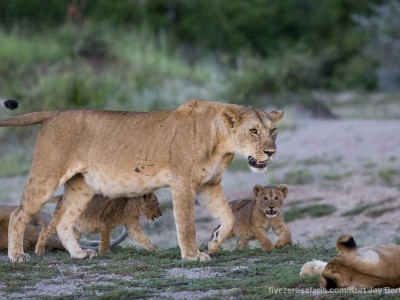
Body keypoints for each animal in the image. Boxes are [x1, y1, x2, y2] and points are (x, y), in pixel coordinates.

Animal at [0, 99, 282, 262]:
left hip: (81, 186)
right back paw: (17, 256)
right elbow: (187, 225)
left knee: (63, 221)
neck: (222, 143)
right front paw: (193, 256)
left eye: (273, 130)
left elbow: (229, 217)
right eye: (253, 131)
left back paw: (79, 254)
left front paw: (212, 245)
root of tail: (55, 113)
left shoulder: (208, 186)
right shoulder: (183, 183)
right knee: (18, 214)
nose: (271, 152)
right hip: (47, 175)